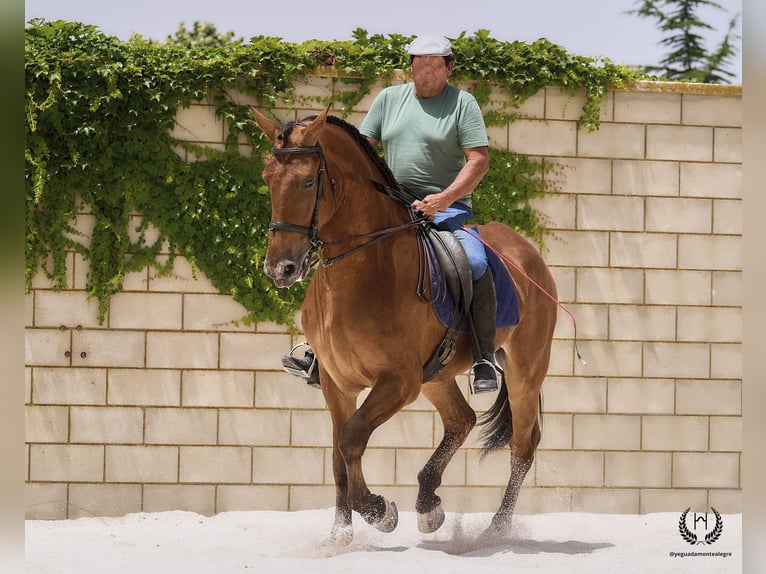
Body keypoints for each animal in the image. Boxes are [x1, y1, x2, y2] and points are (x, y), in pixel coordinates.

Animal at [252, 106, 560, 548]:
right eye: (267, 179)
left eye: (308, 181)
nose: (280, 270)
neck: (362, 269)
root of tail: (525, 251)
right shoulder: (335, 382)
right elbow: (339, 454)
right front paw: (341, 534)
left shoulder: (398, 381)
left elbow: (352, 438)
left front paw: (378, 511)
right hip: (436, 376)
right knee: (462, 420)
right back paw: (429, 503)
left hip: (524, 370)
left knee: (522, 444)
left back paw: (496, 529)